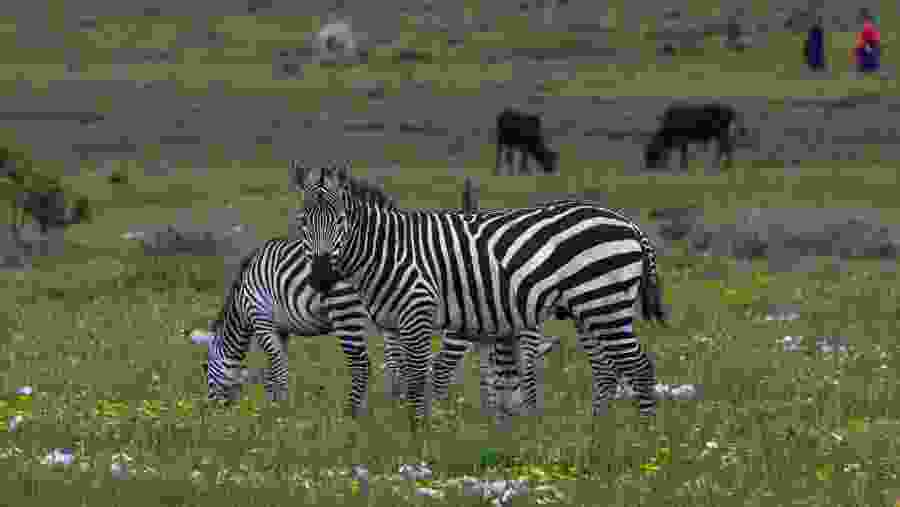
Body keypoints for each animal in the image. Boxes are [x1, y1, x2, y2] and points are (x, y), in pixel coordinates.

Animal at [292, 162, 667, 424]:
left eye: (341, 221)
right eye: (302, 222)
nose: (321, 278)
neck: (388, 249)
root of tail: (629, 224)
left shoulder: (418, 310)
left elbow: (418, 375)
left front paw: (417, 432)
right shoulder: (395, 323)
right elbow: (403, 375)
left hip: (604, 303)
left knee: (640, 367)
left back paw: (643, 436)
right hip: (588, 310)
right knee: (606, 372)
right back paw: (597, 433)